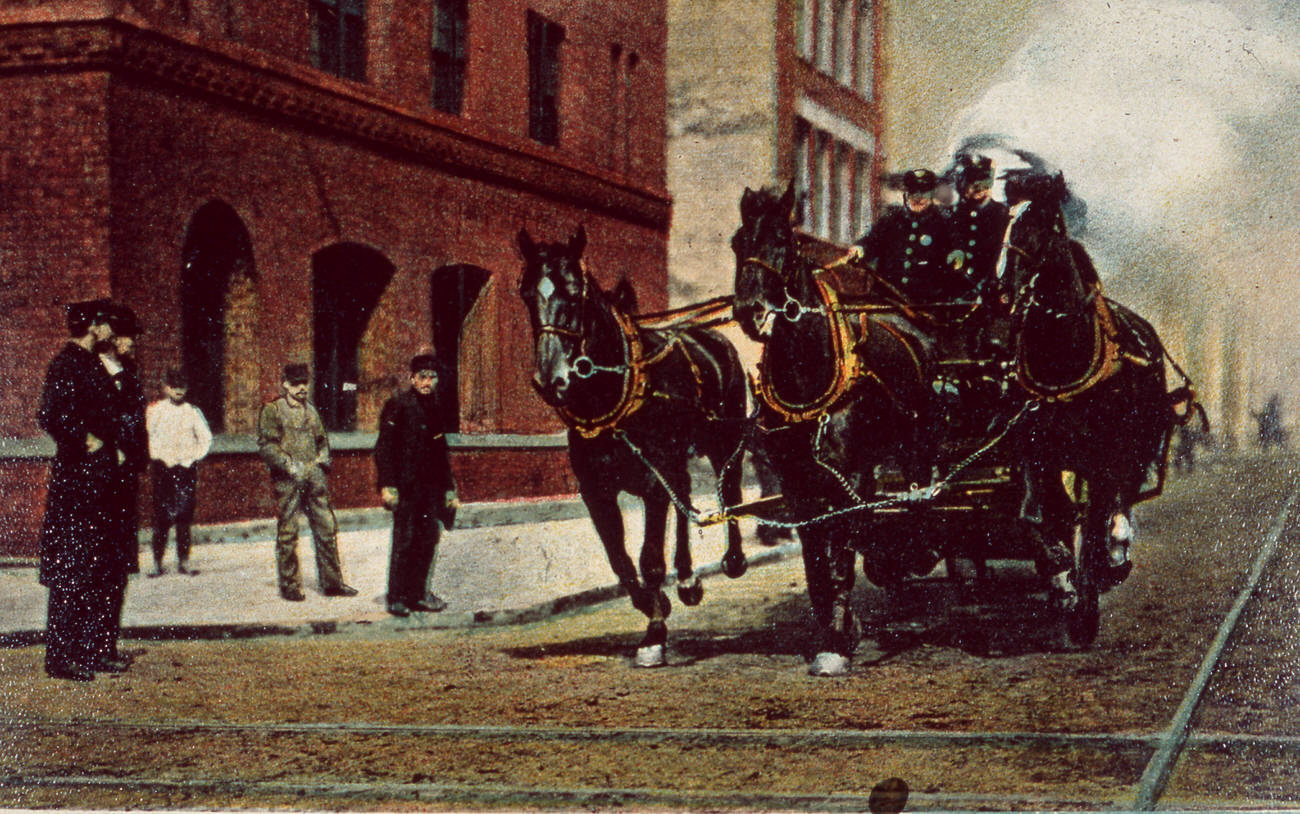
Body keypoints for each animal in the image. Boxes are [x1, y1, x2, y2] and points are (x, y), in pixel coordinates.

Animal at [514, 223, 754, 665]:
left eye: (573, 293)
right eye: (525, 293)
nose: (549, 378)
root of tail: (711, 337)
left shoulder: (652, 481)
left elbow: (649, 560)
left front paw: (654, 635)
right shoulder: (597, 490)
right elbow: (621, 561)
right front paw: (653, 603)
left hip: (723, 440)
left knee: (729, 491)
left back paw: (732, 559)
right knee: (685, 495)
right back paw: (688, 579)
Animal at [733, 183, 946, 670]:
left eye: (783, 243)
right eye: (737, 243)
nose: (750, 311)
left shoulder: (845, 472)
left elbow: (842, 549)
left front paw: (836, 639)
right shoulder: (797, 482)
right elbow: (815, 558)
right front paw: (836, 627)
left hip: (917, 439)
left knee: (918, 494)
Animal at [998, 167, 1201, 618]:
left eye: (1039, 223)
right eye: (1006, 220)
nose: (1002, 292)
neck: (1064, 359)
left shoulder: (1106, 454)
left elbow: (1098, 516)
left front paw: (1094, 574)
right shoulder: (1035, 450)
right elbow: (1034, 516)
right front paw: (1058, 572)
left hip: (1139, 439)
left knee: (1120, 500)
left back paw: (1115, 555)